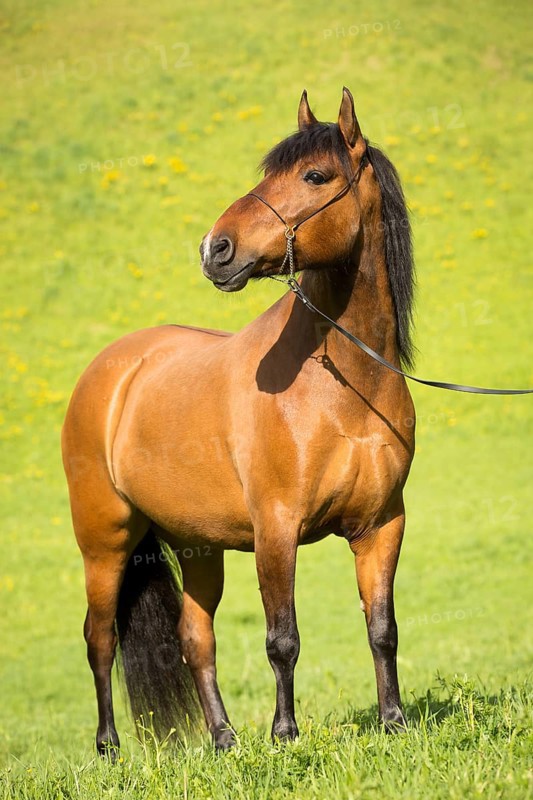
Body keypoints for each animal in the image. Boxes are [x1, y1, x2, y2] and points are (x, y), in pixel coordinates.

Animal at [62, 87, 416, 755]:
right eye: (268, 173)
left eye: (314, 175)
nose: (214, 249)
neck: (344, 386)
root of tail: (109, 372)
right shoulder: (276, 529)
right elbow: (283, 639)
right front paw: (285, 734)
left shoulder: (382, 525)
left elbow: (382, 627)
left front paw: (394, 721)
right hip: (105, 542)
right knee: (100, 640)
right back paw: (109, 748)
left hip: (197, 545)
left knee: (195, 638)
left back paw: (225, 738)